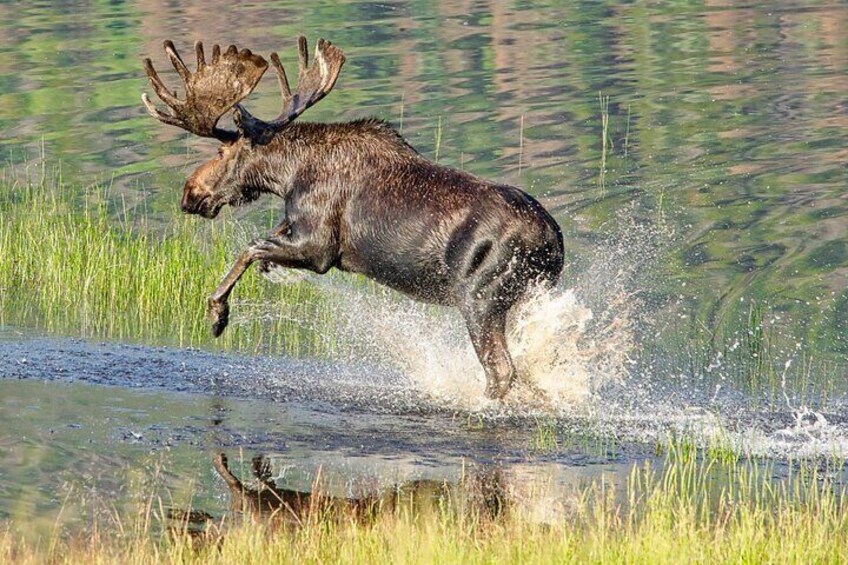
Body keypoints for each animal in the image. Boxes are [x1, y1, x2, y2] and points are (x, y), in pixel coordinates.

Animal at [141, 37, 564, 398]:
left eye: (221, 152)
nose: (190, 194)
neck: (288, 176)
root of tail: (551, 240)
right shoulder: (295, 229)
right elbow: (261, 245)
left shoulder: (320, 250)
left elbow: (251, 247)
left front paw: (217, 314)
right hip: (529, 295)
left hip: (481, 297)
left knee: (501, 369)